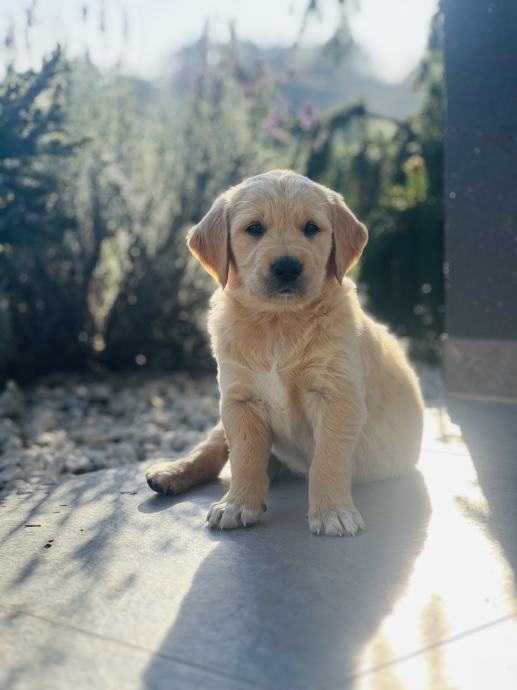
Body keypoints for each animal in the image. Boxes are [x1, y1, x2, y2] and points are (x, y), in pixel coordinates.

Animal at [146, 169, 424, 536]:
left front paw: (332, 511)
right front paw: (238, 504)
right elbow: (244, 457)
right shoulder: (238, 400)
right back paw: (170, 472)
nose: (287, 267)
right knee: (212, 448)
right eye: (254, 228)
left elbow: (328, 459)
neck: (278, 322)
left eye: (311, 228)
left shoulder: (337, 397)